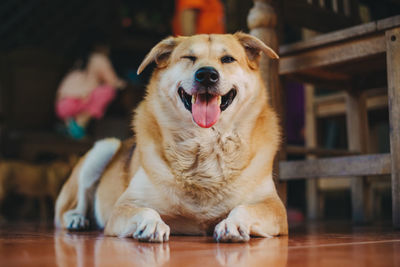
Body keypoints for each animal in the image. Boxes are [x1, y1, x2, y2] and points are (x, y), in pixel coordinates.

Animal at [55, 31, 288, 243]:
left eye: (228, 59)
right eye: (189, 57)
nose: (206, 74)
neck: (204, 141)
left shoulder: (274, 207)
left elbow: (245, 209)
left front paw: (233, 224)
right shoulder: (123, 206)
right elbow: (146, 210)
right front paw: (151, 225)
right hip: (103, 149)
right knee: (70, 207)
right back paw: (76, 219)